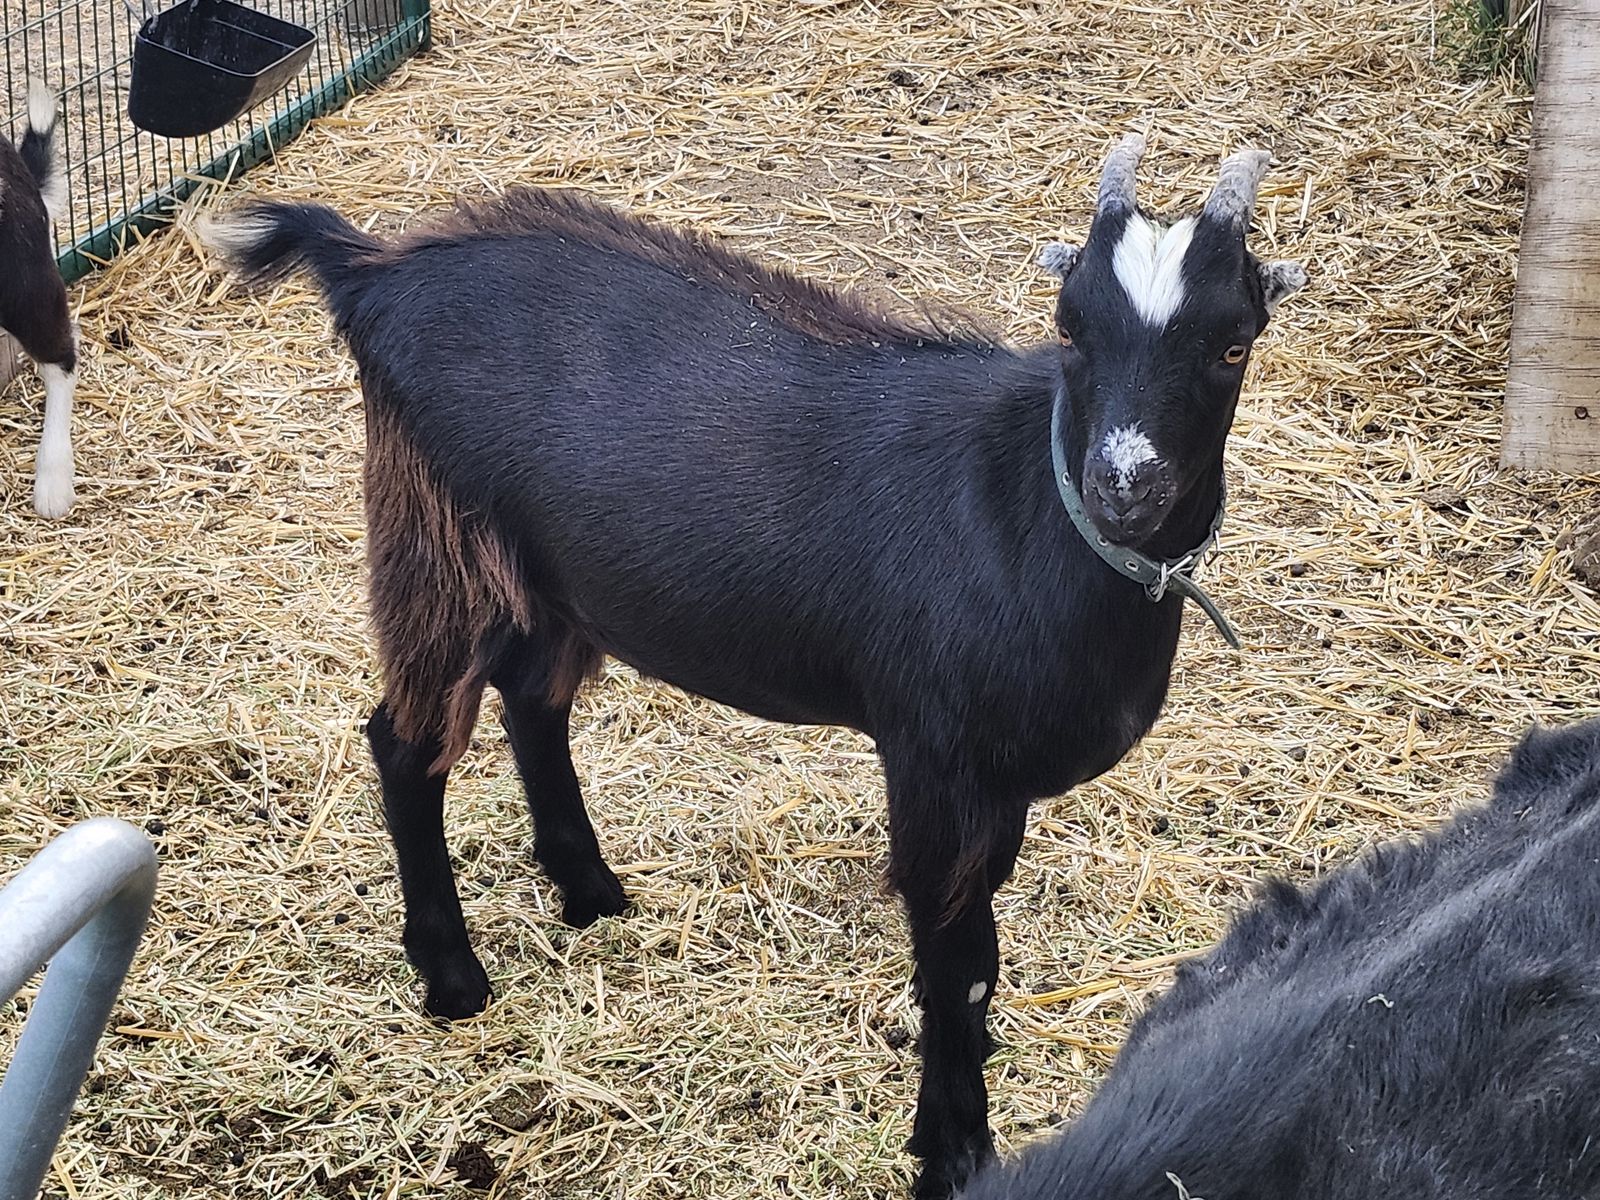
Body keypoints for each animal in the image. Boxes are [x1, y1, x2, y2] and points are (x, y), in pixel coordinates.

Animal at [202, 136, 1306, 1198]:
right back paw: (452, 974)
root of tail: (372, 270)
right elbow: (959, 964)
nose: (1123, 487)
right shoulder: (937, 758)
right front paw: (950, 1153)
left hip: (557, 576)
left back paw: (587, 886)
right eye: (1071, 327)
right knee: (406, 744)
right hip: (438, 540)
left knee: (532, 699)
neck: (1026, 509)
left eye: (1232, 342)